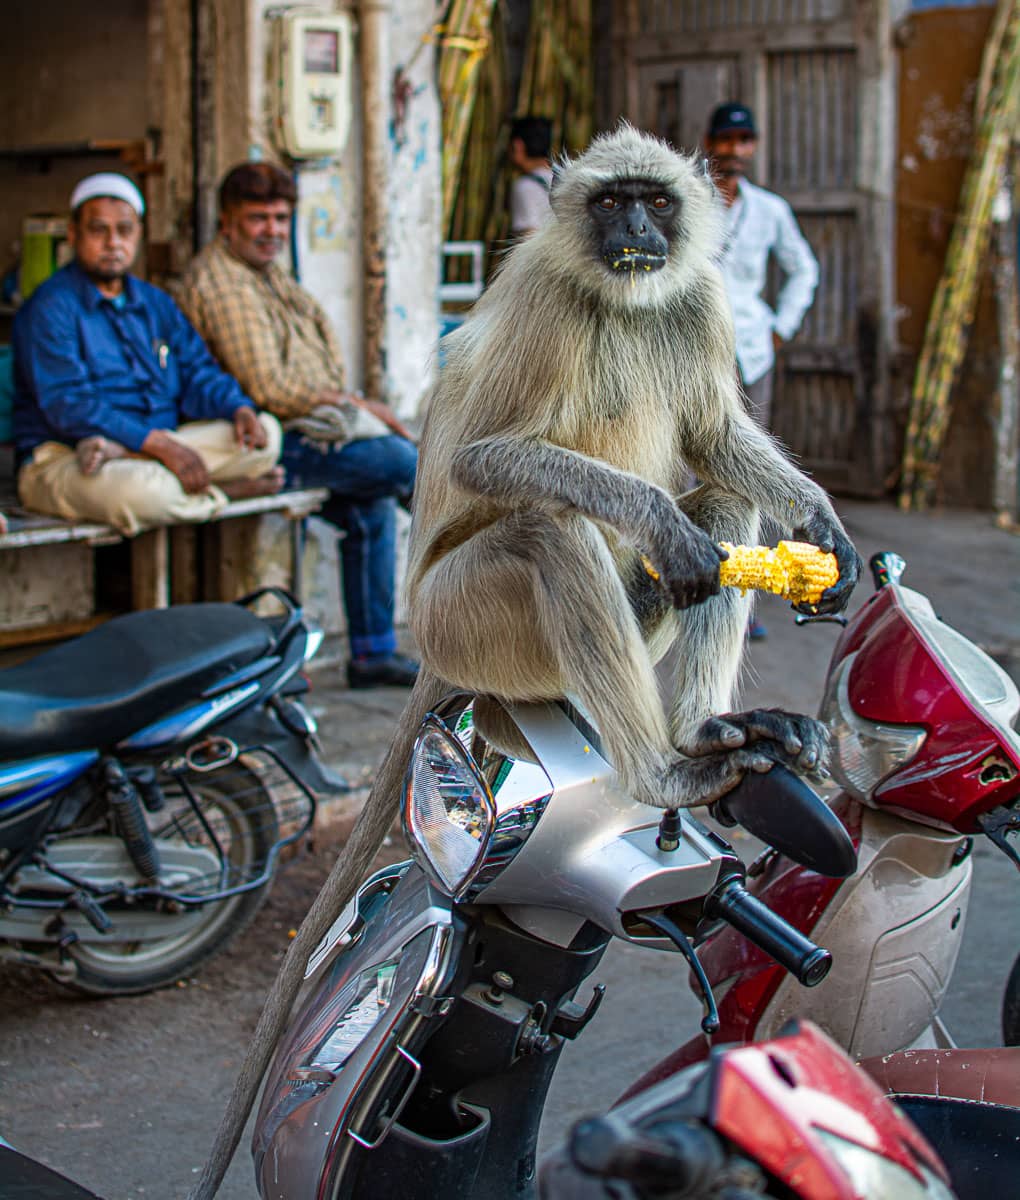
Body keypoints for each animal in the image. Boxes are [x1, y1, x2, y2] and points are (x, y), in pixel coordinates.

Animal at [187, 124, 860, 1198]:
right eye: (611, 203)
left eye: (655, 203)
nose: (634, 233)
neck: (621, 295)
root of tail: (427, 642)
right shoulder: (545, 295)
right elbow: (487, 459)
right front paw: (659, 516)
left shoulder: (697, 297)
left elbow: (717, 438)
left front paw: (820, 523)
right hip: (466, 621)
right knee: (556, 530)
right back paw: (663, 770)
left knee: (720, 506)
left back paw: (706, 735)